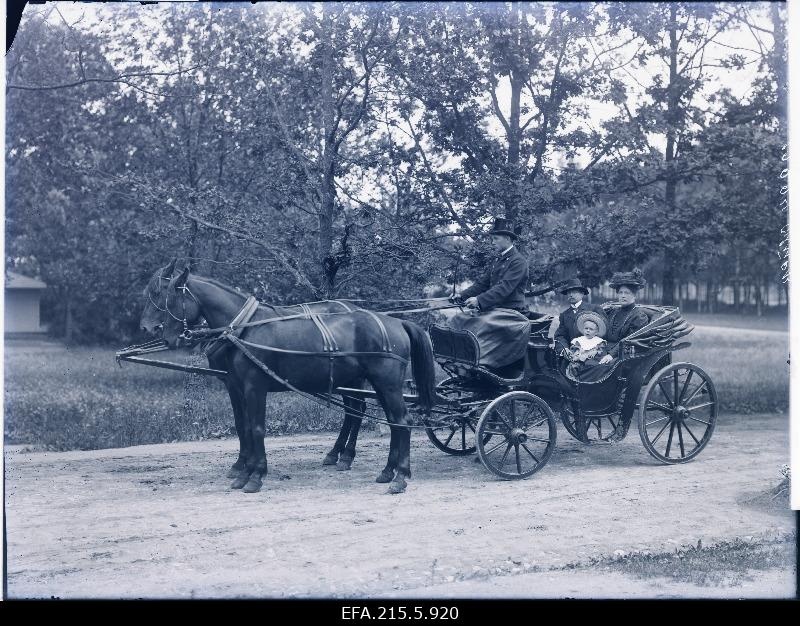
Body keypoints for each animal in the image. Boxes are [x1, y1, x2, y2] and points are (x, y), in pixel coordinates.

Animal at [140, 258, 434, 492]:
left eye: (162, 294)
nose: (148, 329)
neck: (243, 328)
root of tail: (397, 321)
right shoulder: (236, 385)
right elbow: (243, 426)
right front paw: (243, 470)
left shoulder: (254, 387)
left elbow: (256, 428)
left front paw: (255, 475)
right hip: (377, 383)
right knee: (388, 420)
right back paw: (385, 471)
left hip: (387, 383)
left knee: (401, 420)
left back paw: (399, 476)